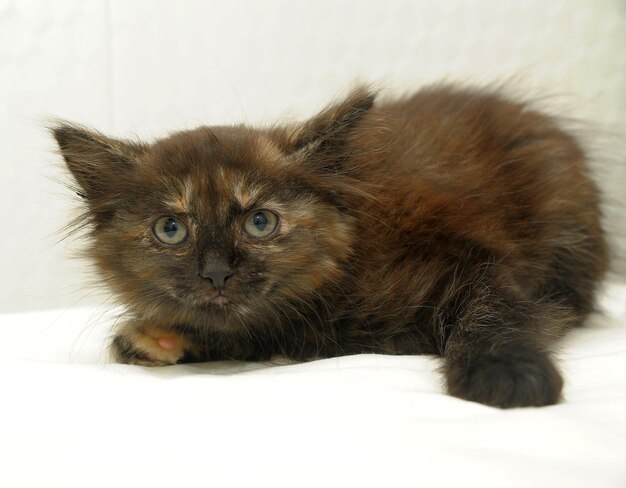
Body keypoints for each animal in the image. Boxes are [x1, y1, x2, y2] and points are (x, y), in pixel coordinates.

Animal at [51, 85, 608, 408]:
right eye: (171, 229)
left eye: (259, 222)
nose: (216, 272)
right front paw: (156, 338)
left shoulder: (477, 259)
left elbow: (494, 308)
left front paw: (507, 373)